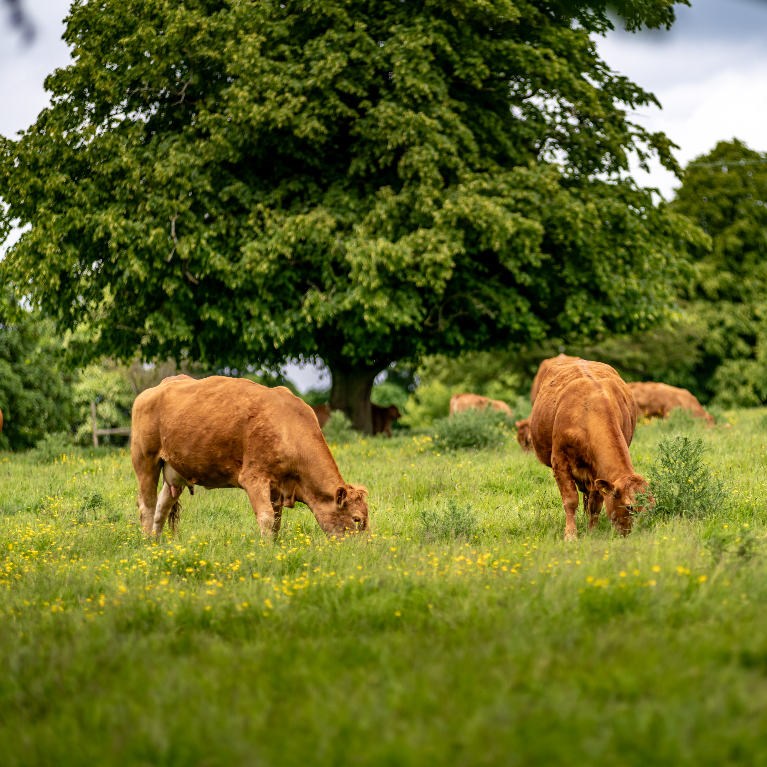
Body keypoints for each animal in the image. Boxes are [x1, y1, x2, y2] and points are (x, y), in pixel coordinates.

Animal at [131, 375, 370, 540]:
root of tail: (160, 386)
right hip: (145, 460)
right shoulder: (255, 477)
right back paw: (147, 543)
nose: (363, 549)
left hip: (175, 471)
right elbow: (266, 518)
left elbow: (276, 522)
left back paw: (156, 544)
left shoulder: (277, 487)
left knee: (162, 506)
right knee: (147, 506)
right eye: (356, 519)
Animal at [530, 360, 649, 540]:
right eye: (629, 506)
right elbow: (571, 501)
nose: (629, 535)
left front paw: (591, 532)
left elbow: (595, 505)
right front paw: (571, 535)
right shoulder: (559, 461)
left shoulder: (599, 472)